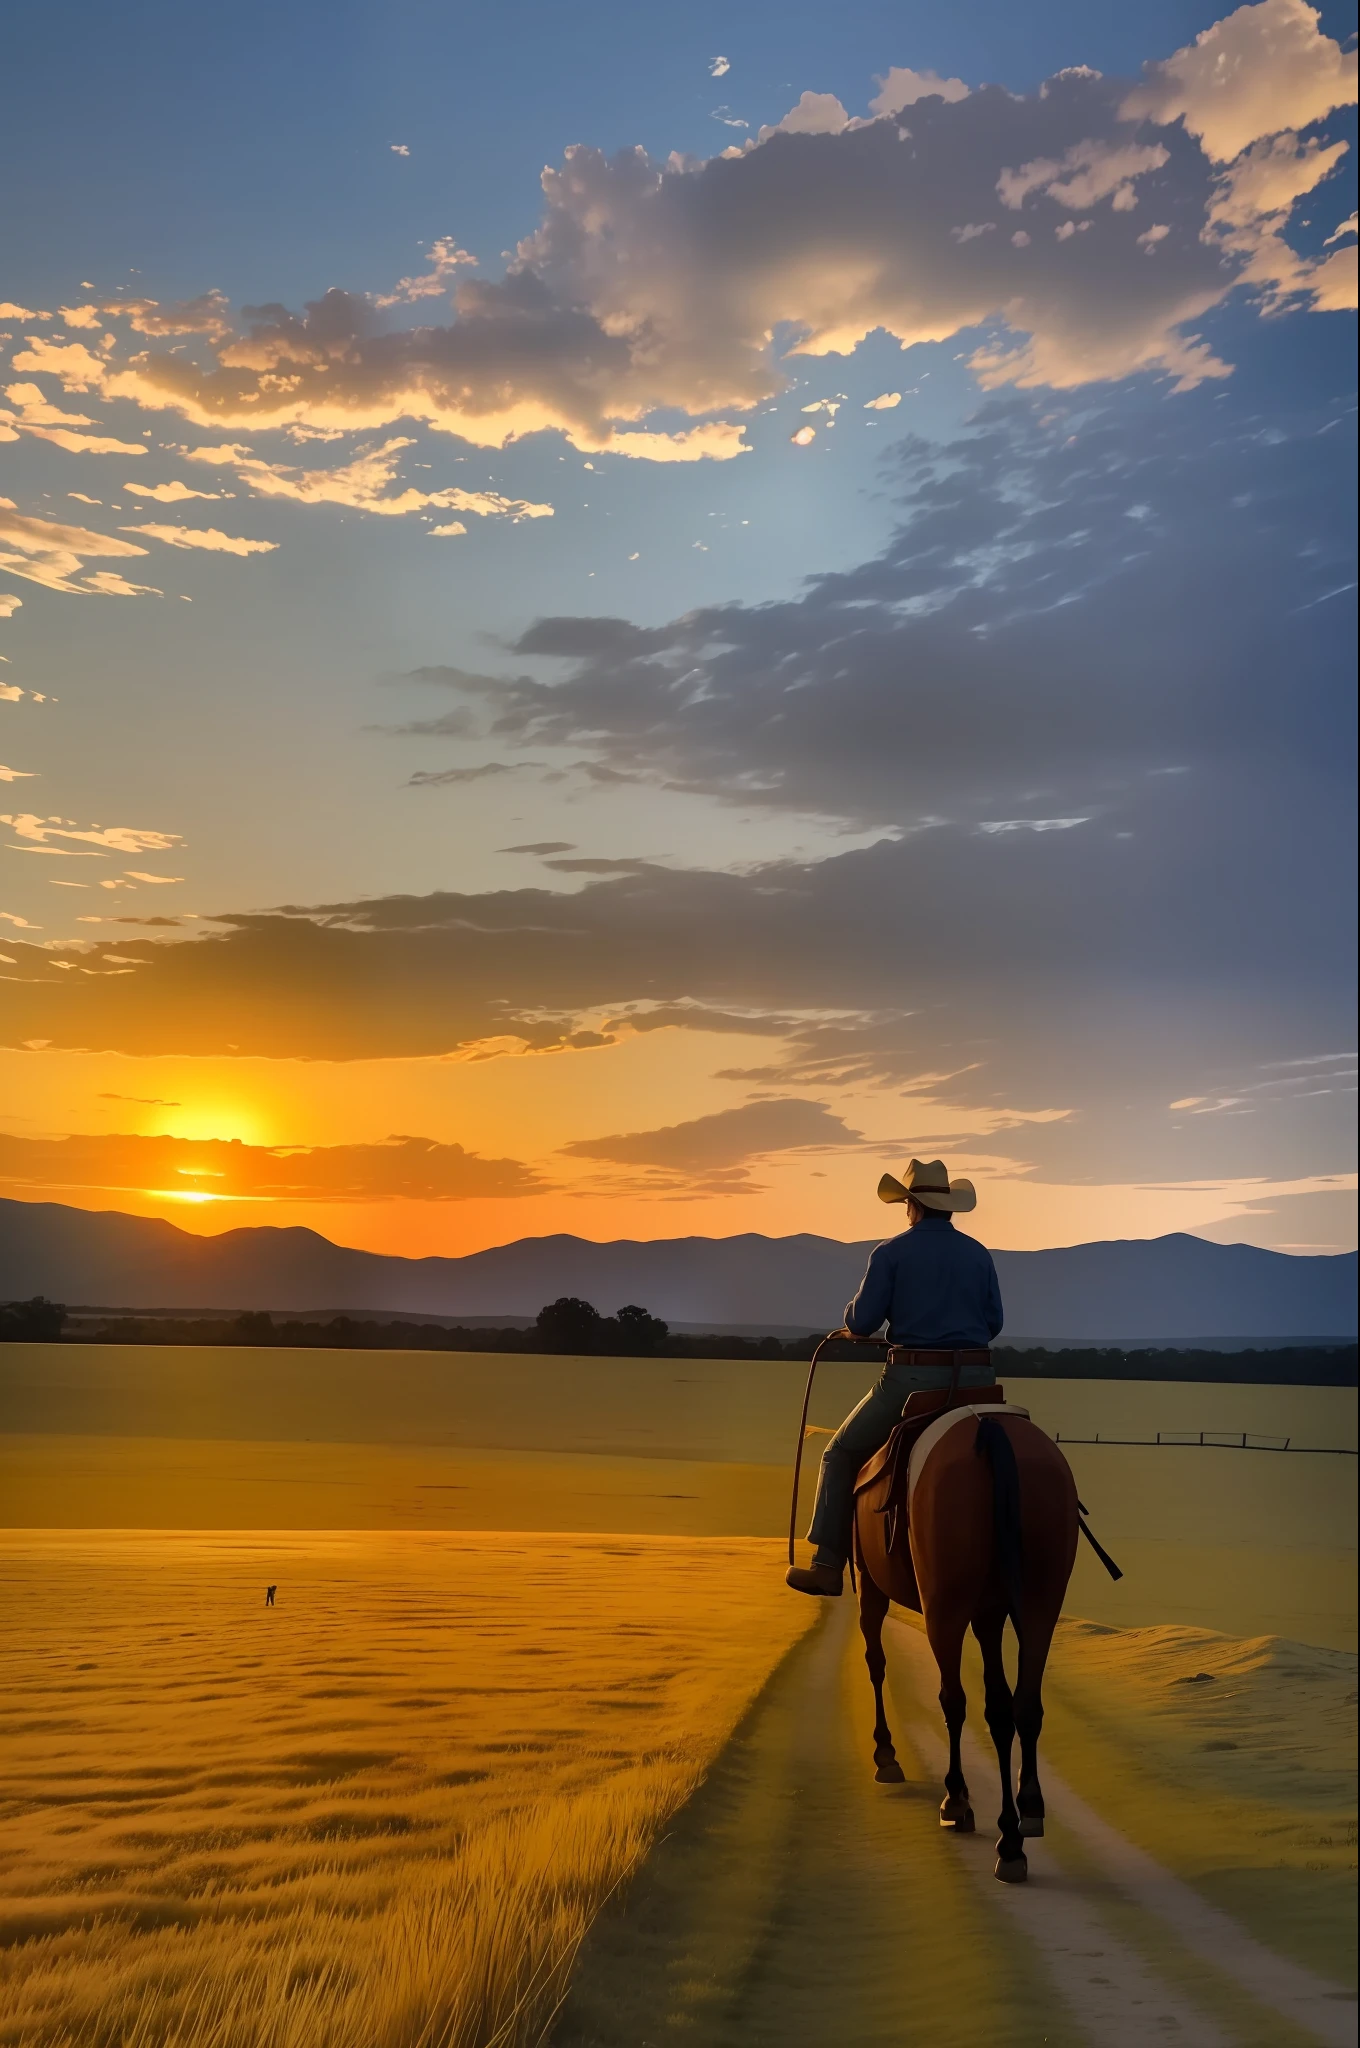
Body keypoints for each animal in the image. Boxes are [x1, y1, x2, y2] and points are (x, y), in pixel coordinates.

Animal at [856, 1400, 1081, 1875]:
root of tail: (991, 1426)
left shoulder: (870, 1582)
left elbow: (877, 1663)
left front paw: (886, 1754)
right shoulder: (990, 1614)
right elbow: (999, 1707)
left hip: (944, 1606)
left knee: (952, 1699)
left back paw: (960, 1802)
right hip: (1040, 1602)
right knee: (1024, 1704)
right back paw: (1021, 1822)